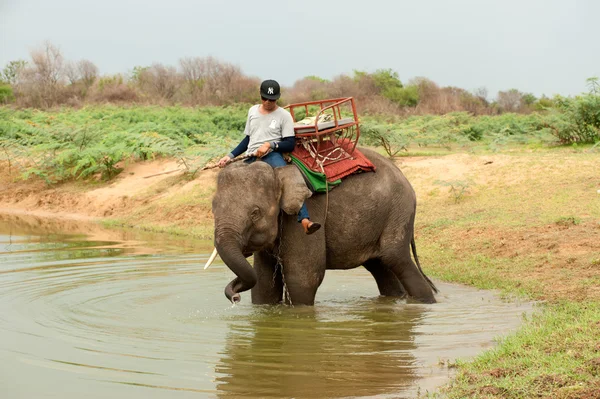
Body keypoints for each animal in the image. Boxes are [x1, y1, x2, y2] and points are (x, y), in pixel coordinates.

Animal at [213, 148, 438, 306]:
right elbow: (264, 282)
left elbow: (302, 277)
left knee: (395, 258)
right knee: (380, 265)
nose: (235, 298)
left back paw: (426, 303)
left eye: (255, 213)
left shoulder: (308, 214)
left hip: (398, 211)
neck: (277, 172)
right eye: (213, 207)